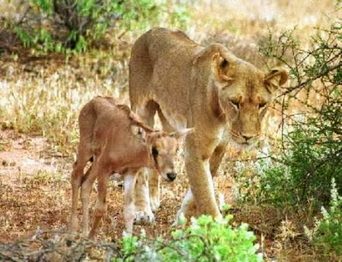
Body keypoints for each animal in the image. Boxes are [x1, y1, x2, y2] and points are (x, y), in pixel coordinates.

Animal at [68, 96, 188, 237]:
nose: (171, 175)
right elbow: (100, 208)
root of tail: (92, 101)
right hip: (85, 151)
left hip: (95, 162)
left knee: (86, 183)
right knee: (76, 176)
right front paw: (91, 239)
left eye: (176, 149)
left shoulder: (130, 173)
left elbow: (129, 210)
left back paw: (84, 232)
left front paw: (128, 239)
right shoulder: (104, 170)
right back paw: (72, 231)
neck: (129, 146)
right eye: (155, 150)